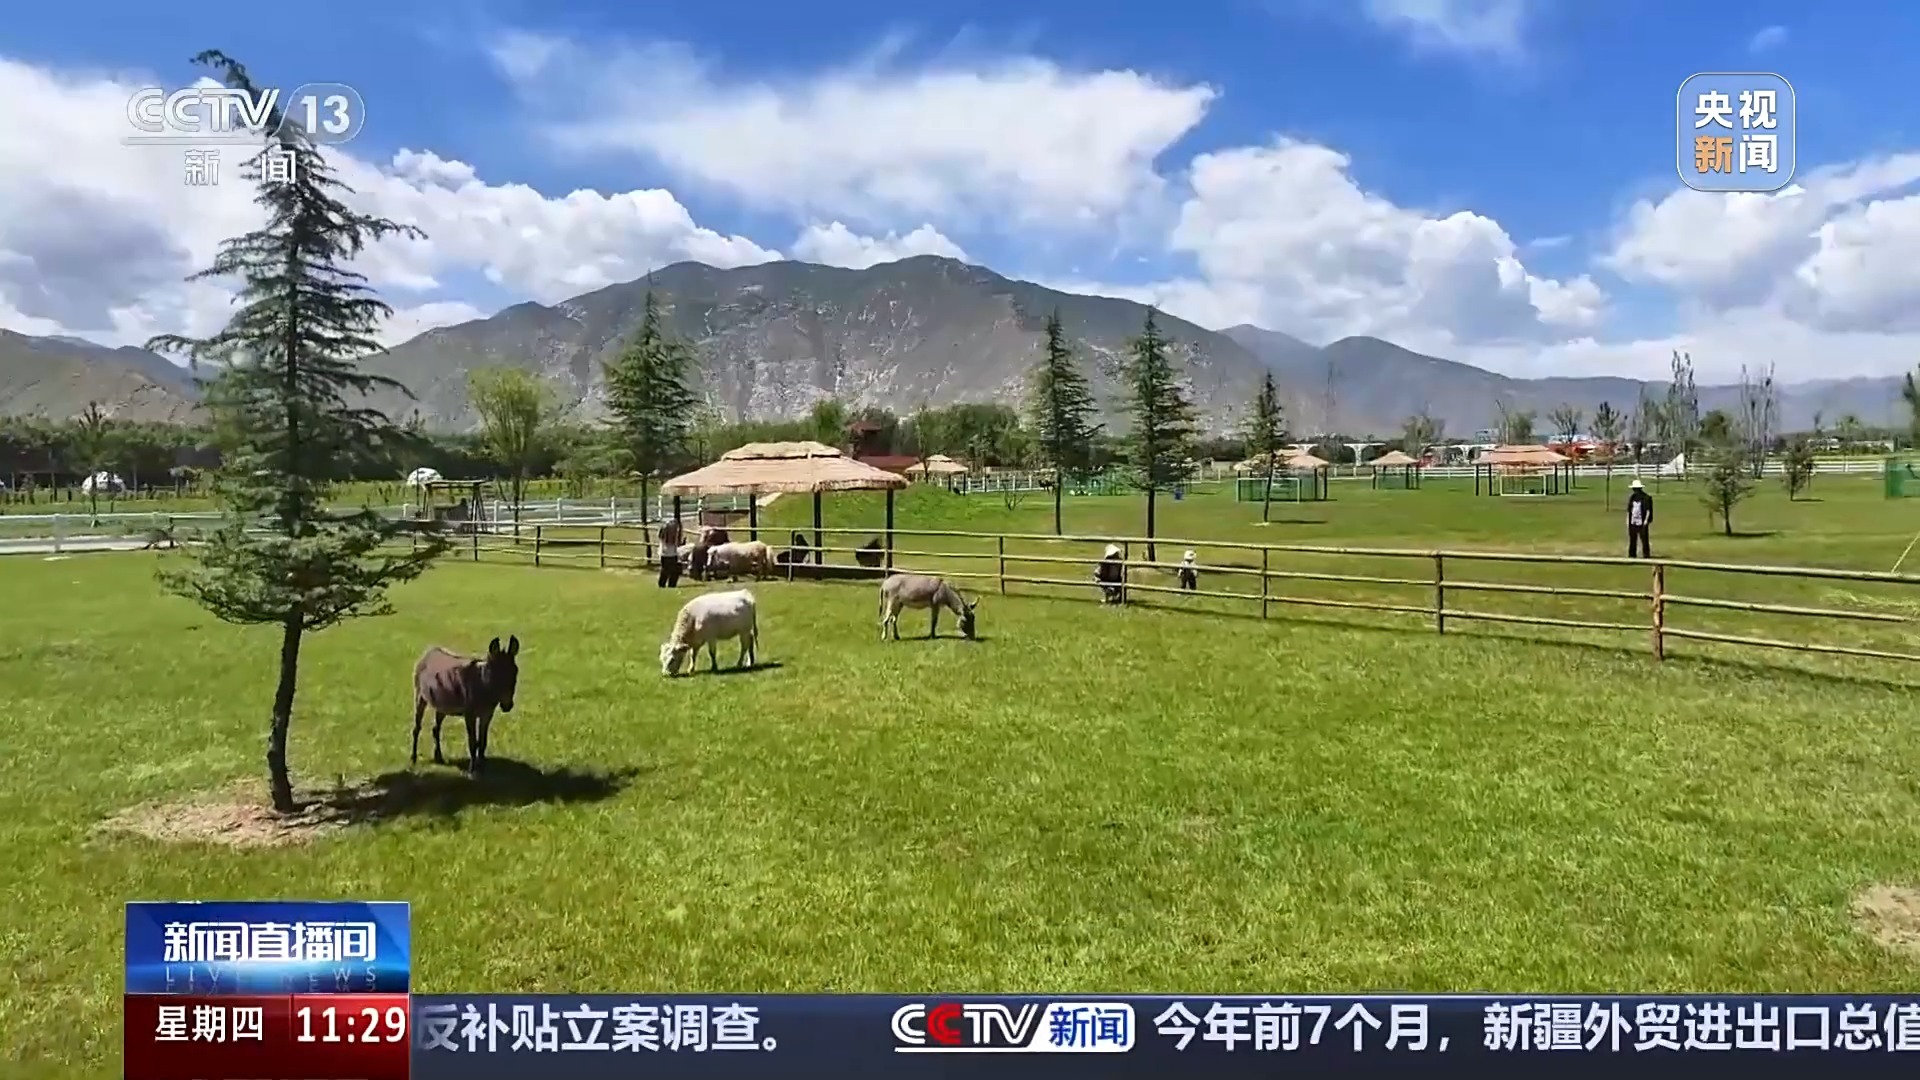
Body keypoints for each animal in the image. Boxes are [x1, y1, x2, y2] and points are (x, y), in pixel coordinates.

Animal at [411, 635, 520, 774]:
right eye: (494, 674)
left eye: (515, 673)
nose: (507, 706)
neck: (484, 688)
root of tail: (429, 652)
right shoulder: (470, 715)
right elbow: (473, 742)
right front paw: (472, 771)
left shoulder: (487, 715)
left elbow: (482, 742)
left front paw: (482, 767)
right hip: (420, 697)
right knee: (417, 728)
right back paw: (413, 758)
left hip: (443, 705)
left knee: (436, 729)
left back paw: (439, 757)